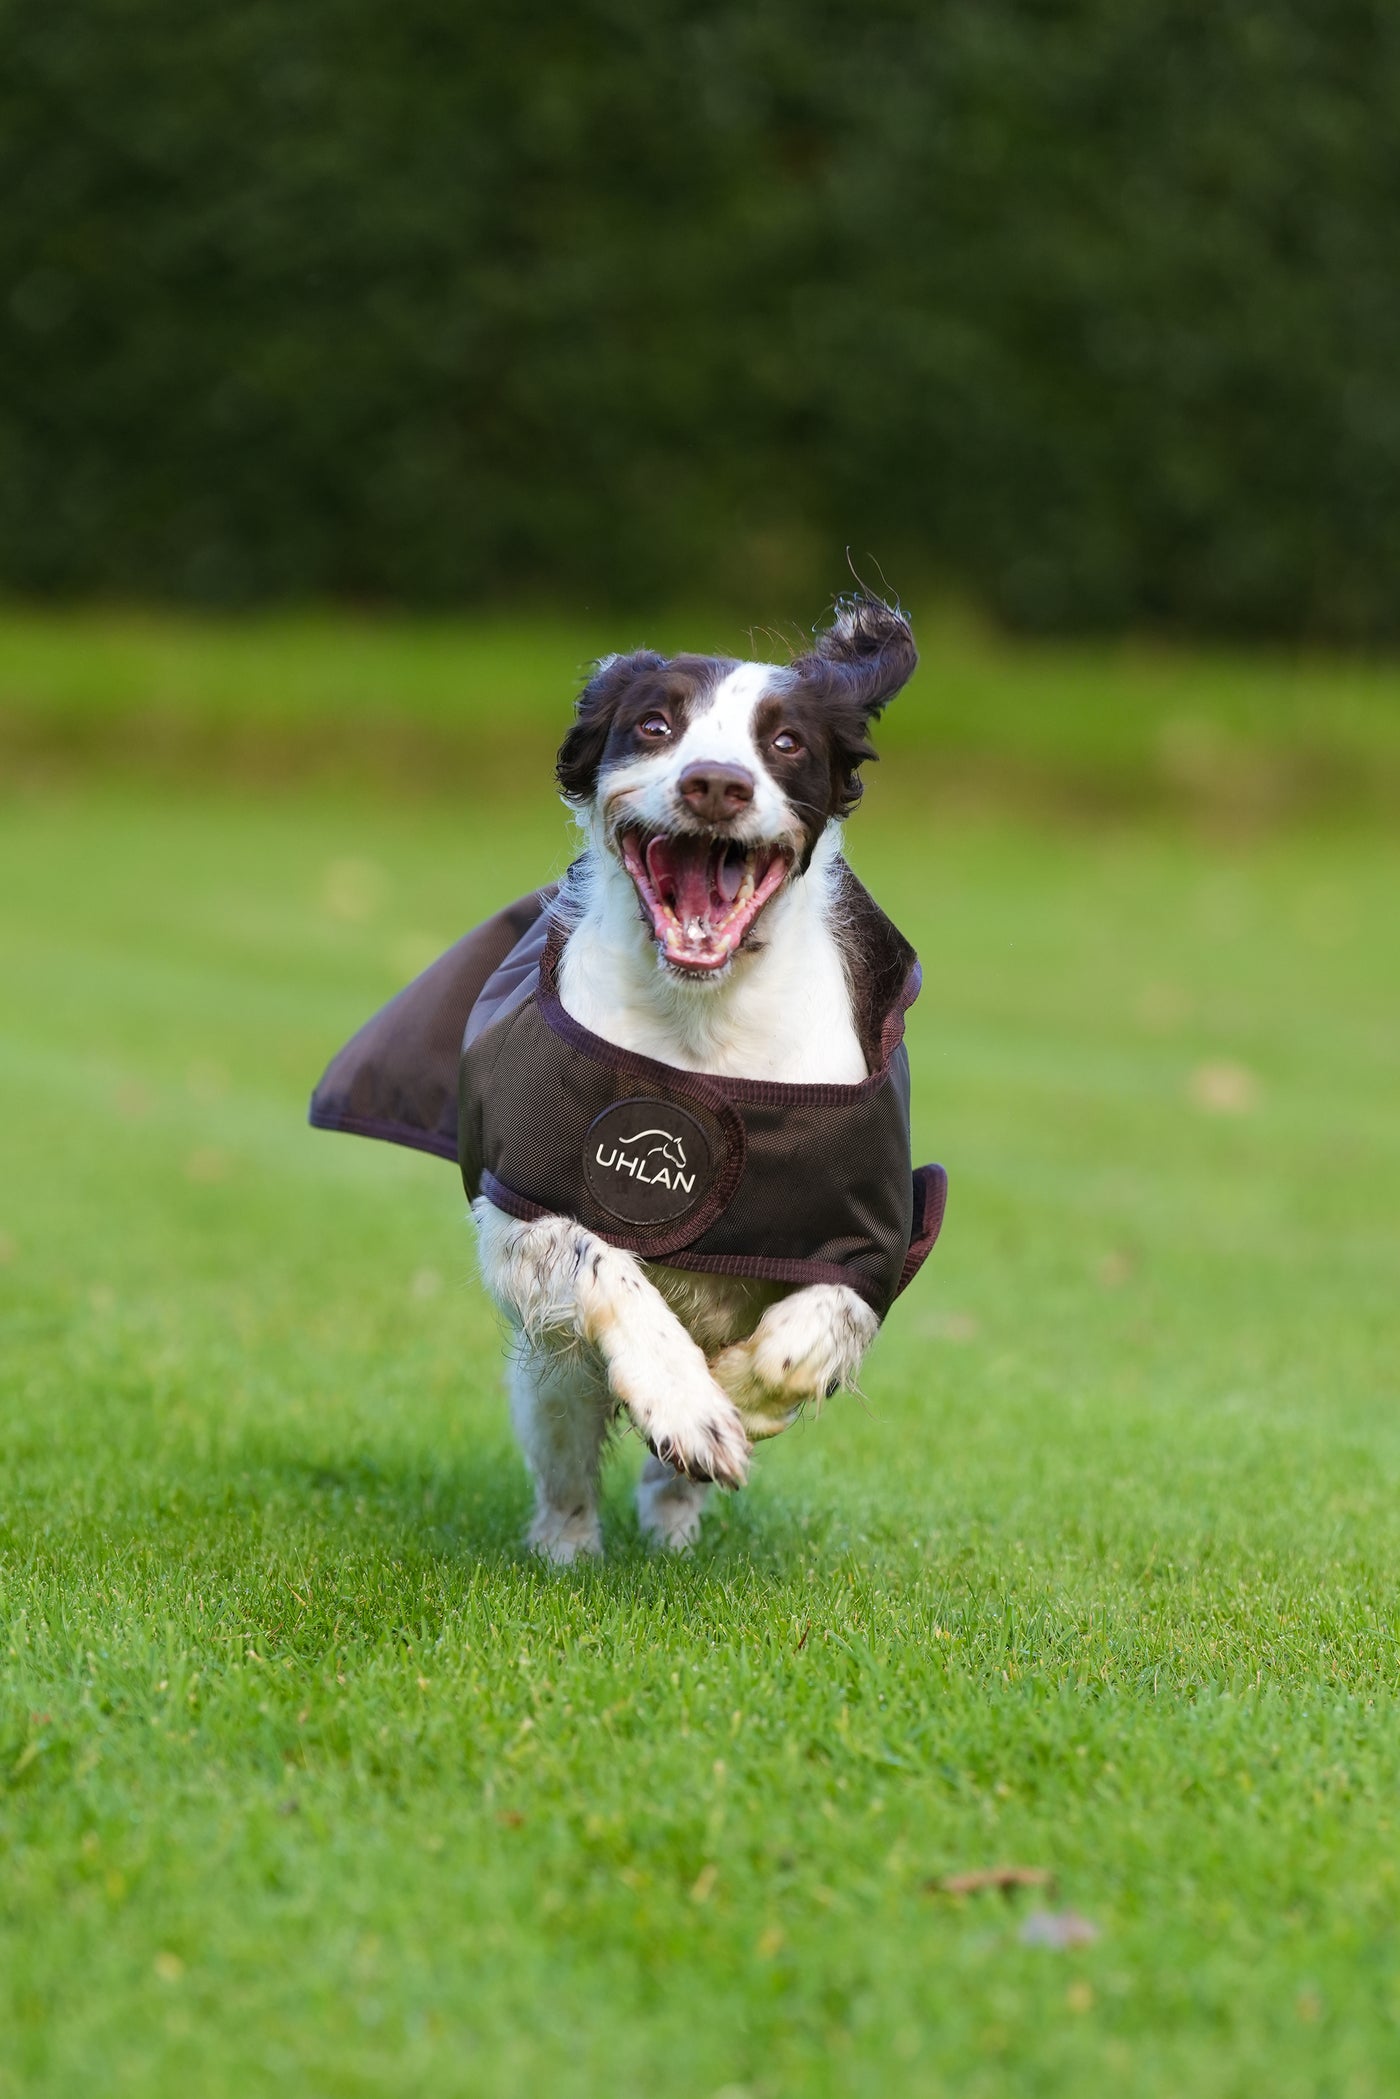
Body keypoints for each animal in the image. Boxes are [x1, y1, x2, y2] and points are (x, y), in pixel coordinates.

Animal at [476, 591, 923, 1561]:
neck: (701, 1023)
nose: (716, 784)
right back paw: (568, 1551)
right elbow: (599, 1256)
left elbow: (819, 1325)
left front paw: (739, 1397)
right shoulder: (519, 1214)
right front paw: (688, 1404)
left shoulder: (872, 1230)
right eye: (655, 723)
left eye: (786, 741)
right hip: (552, 1383)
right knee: (564, 1460)